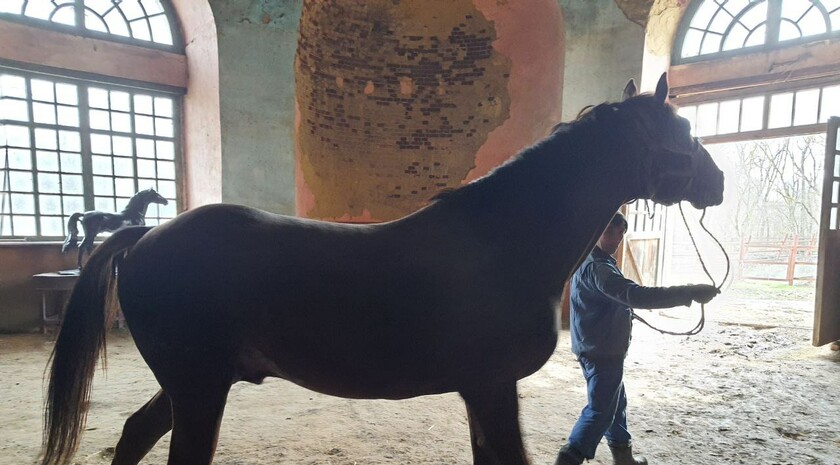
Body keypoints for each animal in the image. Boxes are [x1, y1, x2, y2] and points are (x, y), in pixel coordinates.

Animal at [39, 75, 720, 464]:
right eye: (684, 129)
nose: (715, 181)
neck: (503, 241)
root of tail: (145, 235)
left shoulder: (481, 392)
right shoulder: (492, 386)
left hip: (193, 384)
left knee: (133, 434)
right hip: (200, 389)